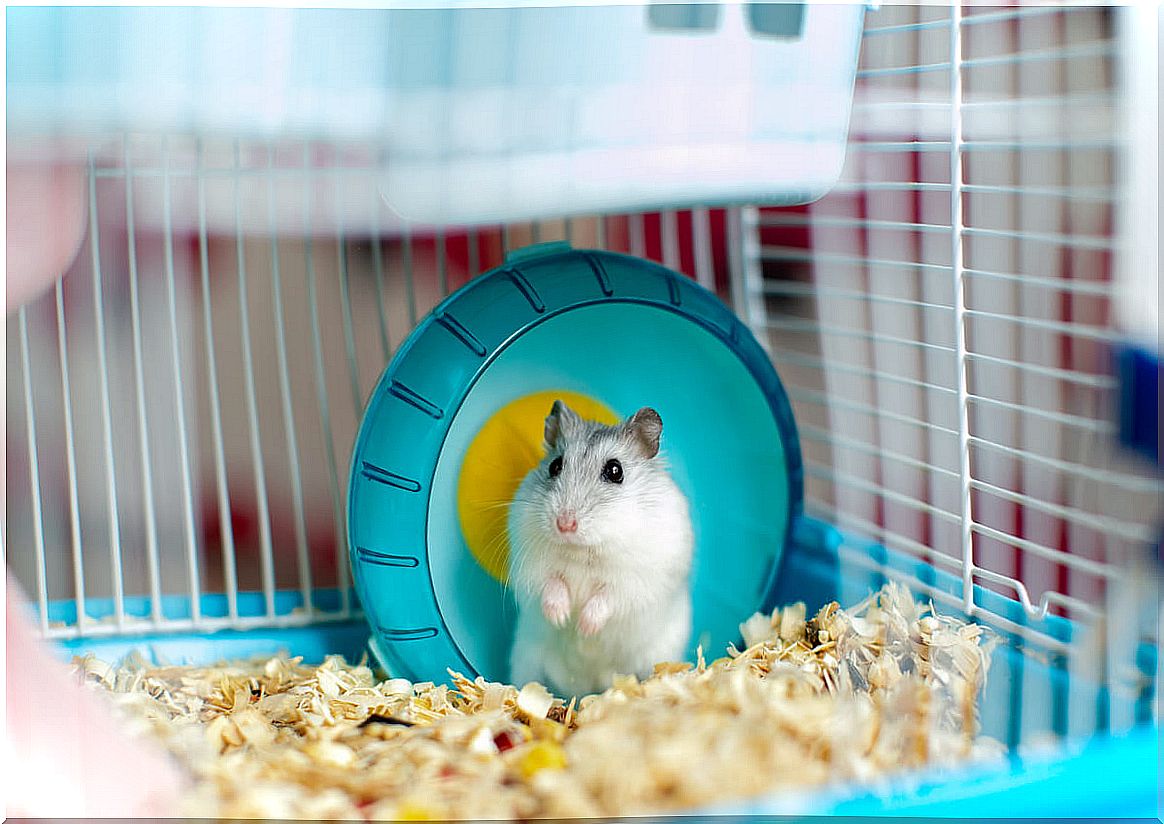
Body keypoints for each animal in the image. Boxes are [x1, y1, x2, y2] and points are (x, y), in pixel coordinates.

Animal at [507, 398, 689, 693]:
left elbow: (607, 597)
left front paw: (584, 627)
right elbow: (551, 583)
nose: (564, 524)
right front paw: (561, 617)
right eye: (555, 466)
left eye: (615, 471)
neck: (584, 550)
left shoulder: (636, 581)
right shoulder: (533, 566)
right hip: (526, 658)